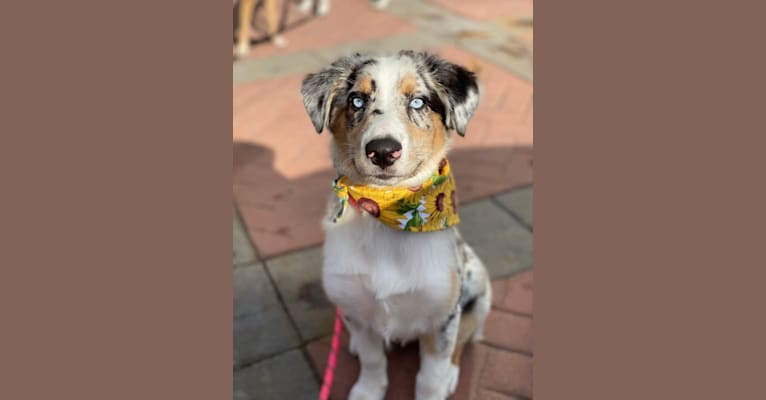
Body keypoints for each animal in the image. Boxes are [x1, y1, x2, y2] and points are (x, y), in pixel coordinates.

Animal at [300, 51, 492, 398]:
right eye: (357, 100)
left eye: (418, 102)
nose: (383, 151)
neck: (388, 211)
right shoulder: (356, 310)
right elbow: (373, 360)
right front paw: (367, 391)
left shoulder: (442, 316)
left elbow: (431, 376)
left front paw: (438, 384)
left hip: (479, 295)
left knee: (464, 338)